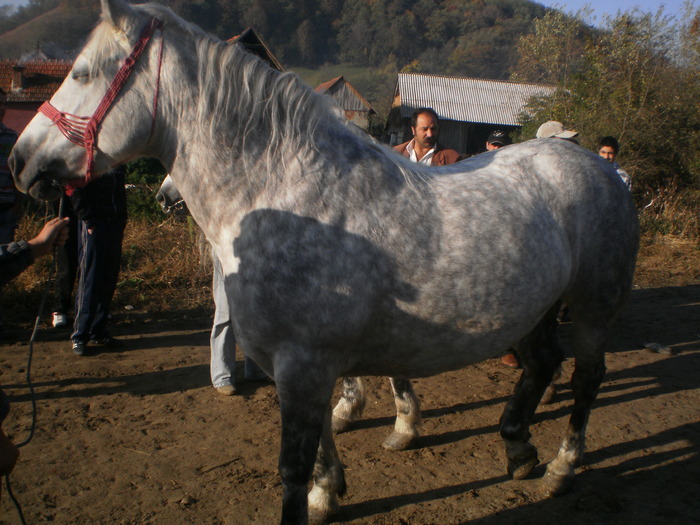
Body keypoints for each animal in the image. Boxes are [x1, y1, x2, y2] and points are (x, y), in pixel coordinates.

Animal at [9, 2, 640, 520]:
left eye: (82, 73)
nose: (19, 161)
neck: (285, 192)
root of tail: (600, 168)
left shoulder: (305, 363)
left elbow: (292, 465)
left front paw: (316, 493)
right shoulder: (299, 367)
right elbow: (318, 448)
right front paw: (328, 493)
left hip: (591, 310)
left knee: (585, 378)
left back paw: (560, 469)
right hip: (536, 310)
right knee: (543, 363)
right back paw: (517, 446)